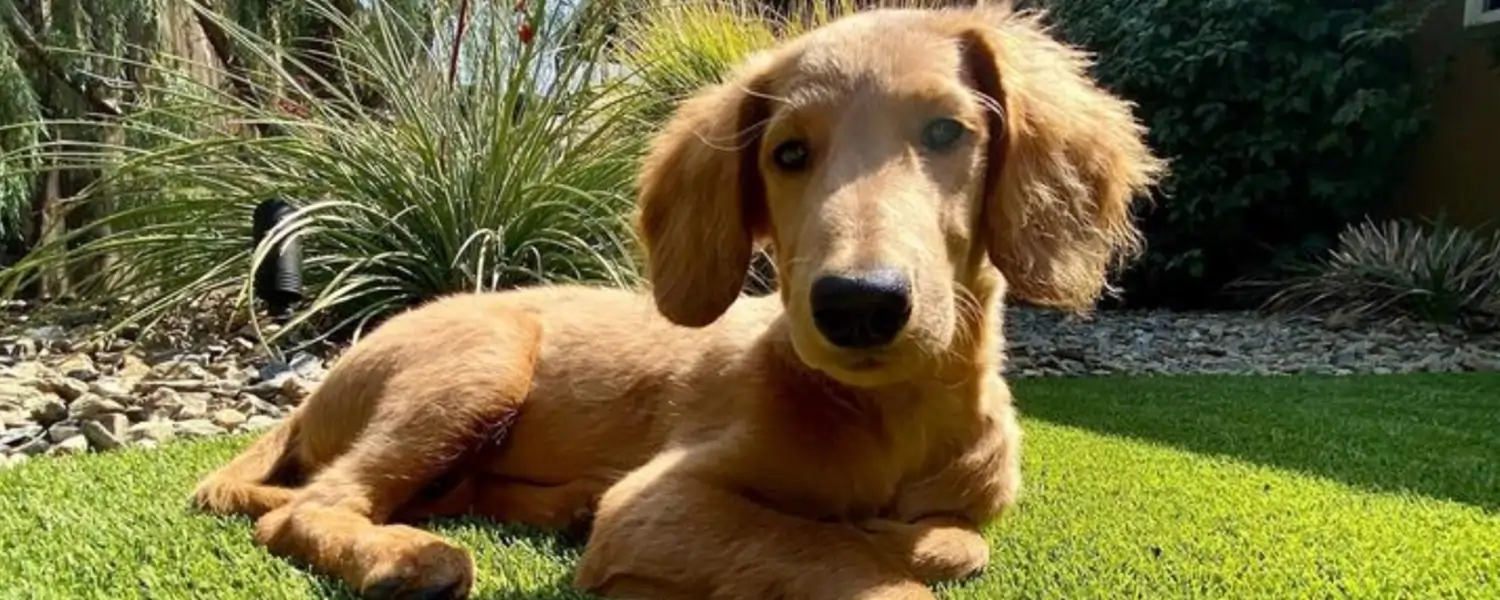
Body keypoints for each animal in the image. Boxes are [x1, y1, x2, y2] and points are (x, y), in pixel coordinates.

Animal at [187, 5, 1164, 600]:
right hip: (479, 360)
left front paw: (904, 537)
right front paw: (875, 549)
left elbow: (959, 539)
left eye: (947, 132)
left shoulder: (968, 506)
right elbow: (829, 553)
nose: (858, 304)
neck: (890, 418)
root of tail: (315, 390)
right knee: (306, 506)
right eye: (788, 154)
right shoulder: (656, 505)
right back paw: (407, 558)